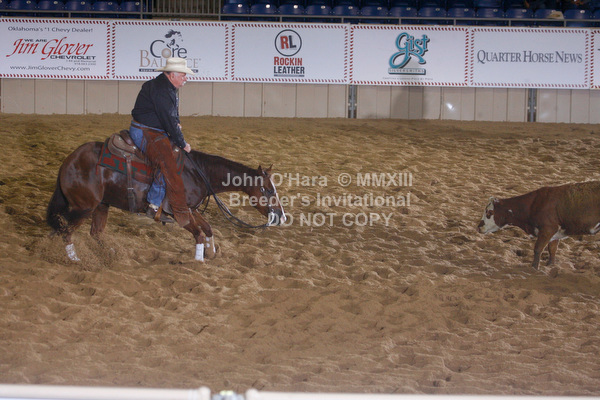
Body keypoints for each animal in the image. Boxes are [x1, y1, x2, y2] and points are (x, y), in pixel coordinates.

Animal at [46, 134, 286, 262]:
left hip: (101, 206)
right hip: (83, 208)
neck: (197, 172)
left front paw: (211, 253)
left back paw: (110, 253)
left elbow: (207, 229)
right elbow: (199, 234)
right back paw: (75, 259)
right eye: (268, 190)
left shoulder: (191, 209)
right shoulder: (180, 212)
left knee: (94, 233)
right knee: (65, 231)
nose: (281, 216)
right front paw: (198, 260)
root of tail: (69, 161)